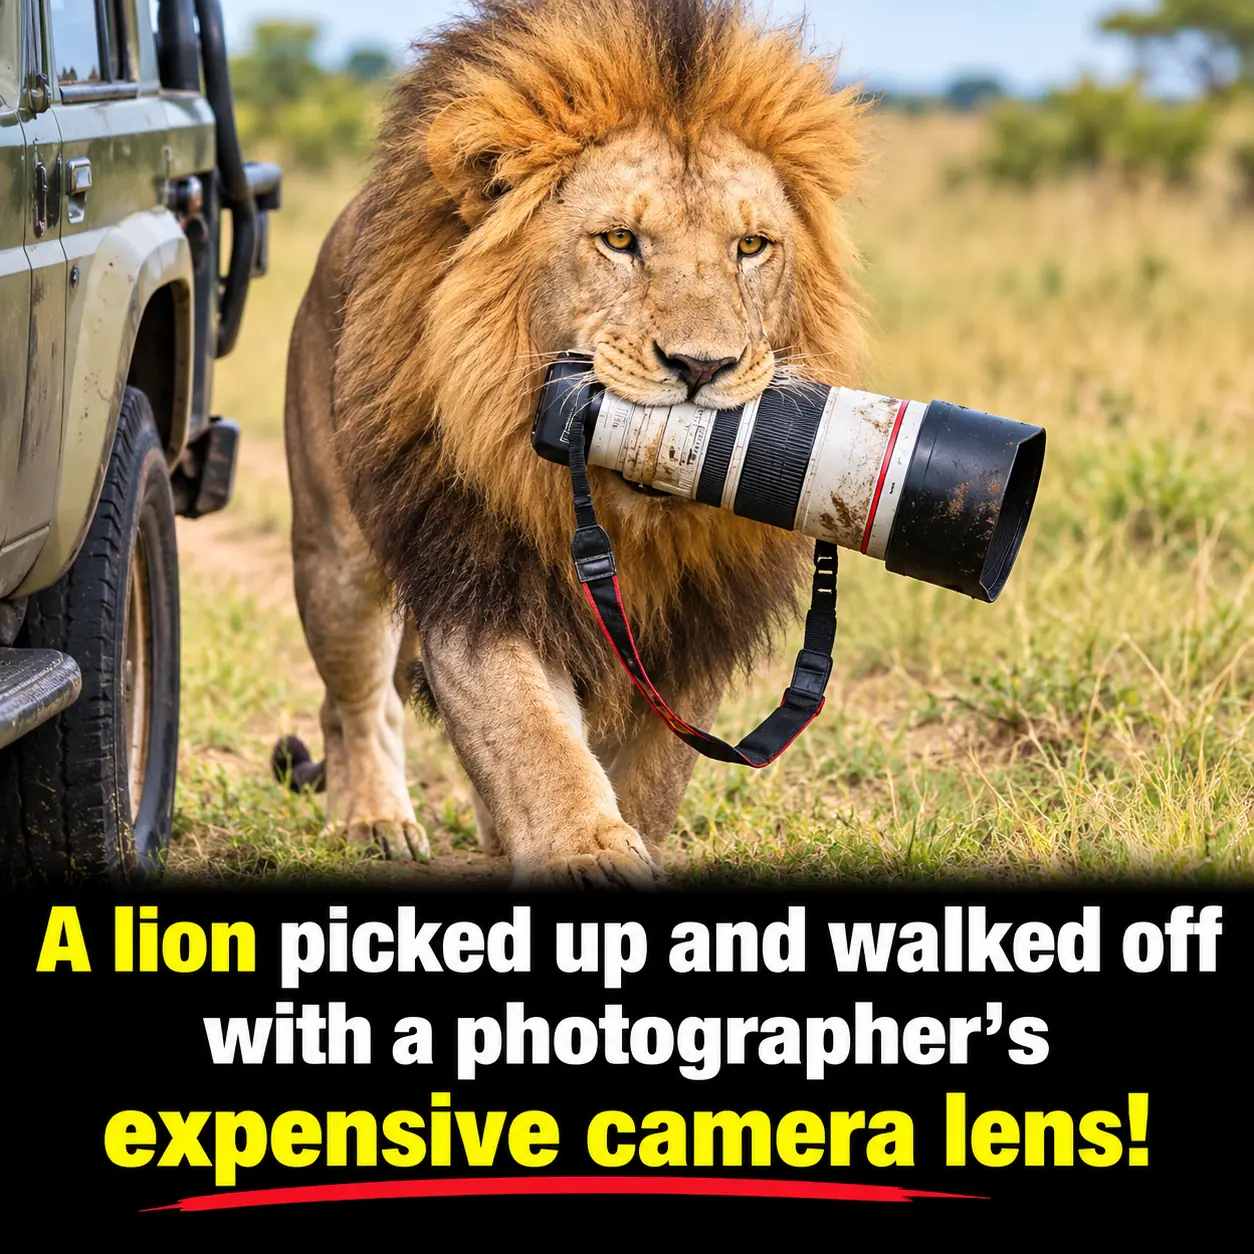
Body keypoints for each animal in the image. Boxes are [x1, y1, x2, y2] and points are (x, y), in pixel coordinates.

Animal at [274, 0, 866, 887]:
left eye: (751, 247)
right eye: (619, 241)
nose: (703, 367)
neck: (627, 521)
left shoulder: (695, 621)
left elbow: (655, 774)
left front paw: (625, 836)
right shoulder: (477, 574)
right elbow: (529, 736)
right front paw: (585, 851)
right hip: (336, 558)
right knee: (355, 702)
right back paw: (374, 818)